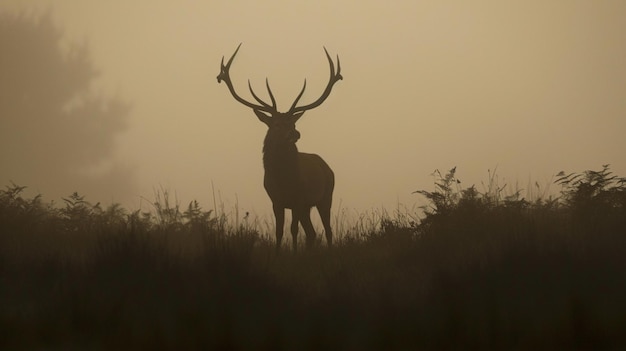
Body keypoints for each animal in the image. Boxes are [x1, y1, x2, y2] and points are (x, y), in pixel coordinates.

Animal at [216, 44, 342, 252]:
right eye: (276, 124)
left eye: (293, 123)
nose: (295, 134)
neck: (283, 180)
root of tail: (327, 167)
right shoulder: (276, 200)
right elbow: (279, 231)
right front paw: (277, 254)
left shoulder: (298, 199)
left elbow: (293, 230)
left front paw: (295, 253)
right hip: (308, 206)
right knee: (312, 233)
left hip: (326, 197)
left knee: (328, 230)